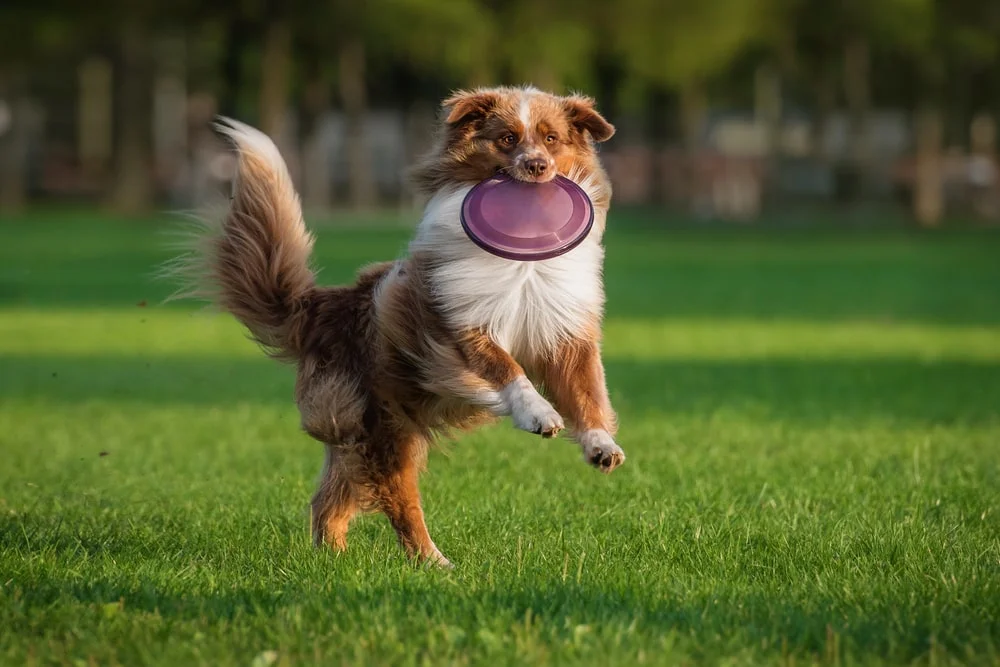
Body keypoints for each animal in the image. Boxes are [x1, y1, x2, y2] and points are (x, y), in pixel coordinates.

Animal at [172, 85, 624, 568]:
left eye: (551, 138)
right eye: (506, 139)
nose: (537, 165)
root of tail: (322, 306)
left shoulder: (567, 333)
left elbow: (587, 391)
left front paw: (600, 444)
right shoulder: (452, 326)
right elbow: (506, 368)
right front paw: (538, 413)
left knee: (330, 500)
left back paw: (334, 561)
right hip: (384, 430)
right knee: (397, 500)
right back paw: (433, 562)